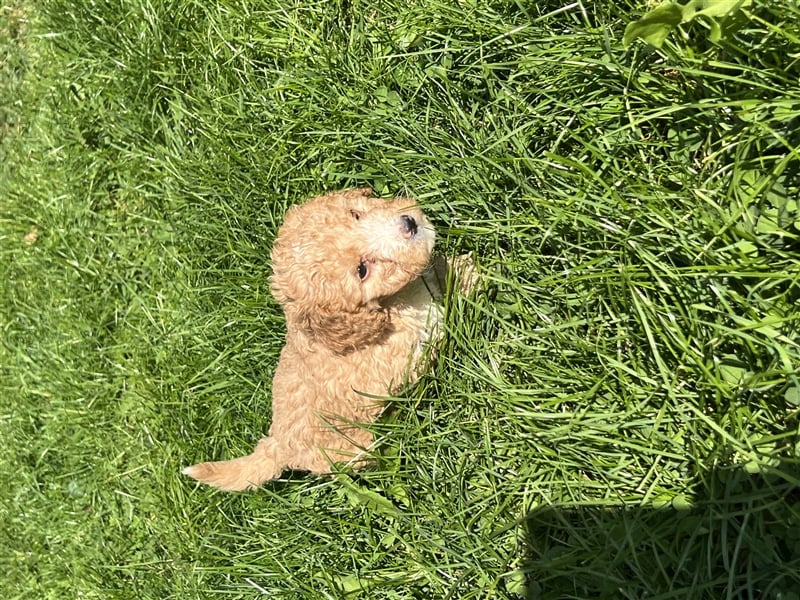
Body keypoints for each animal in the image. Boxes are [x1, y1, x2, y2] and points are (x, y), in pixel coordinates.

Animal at [181, 189, 462, 492]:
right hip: (351, 450)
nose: (409, 224)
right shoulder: (415, 343)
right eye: (362, 270)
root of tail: (276, 445)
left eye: (355, 214)